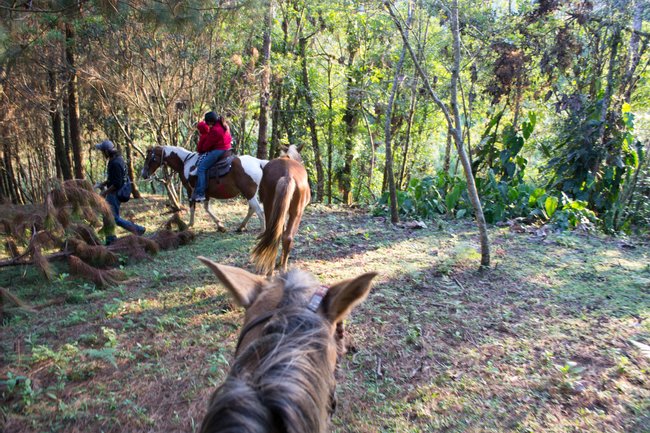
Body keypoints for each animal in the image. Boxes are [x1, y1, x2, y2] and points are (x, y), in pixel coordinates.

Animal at [251, 145, 308, 274]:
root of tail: (288, 174)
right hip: (295, 212)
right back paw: (278, 268)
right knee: (283, 236)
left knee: (278, 235)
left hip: (272, 207)